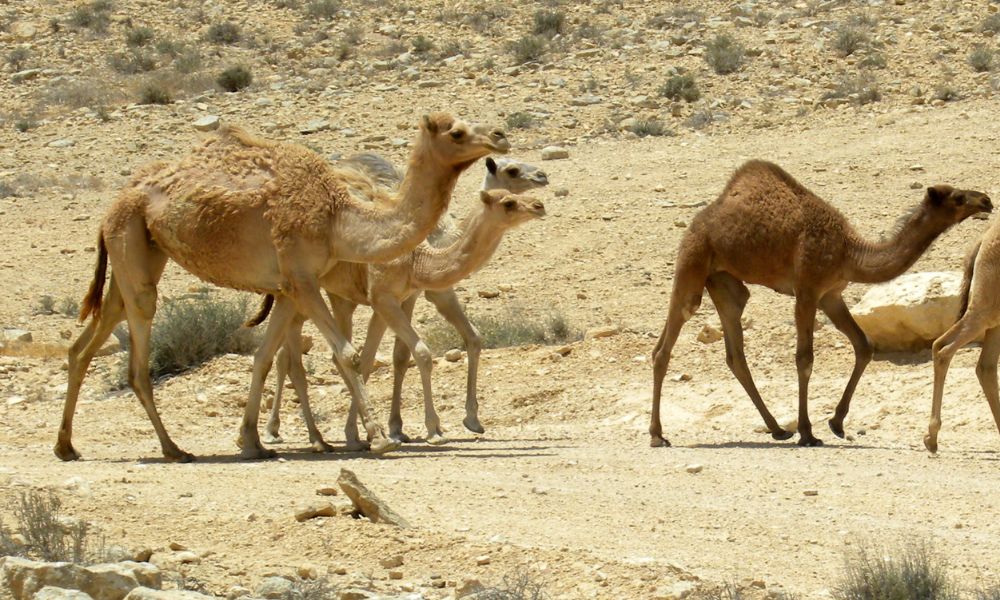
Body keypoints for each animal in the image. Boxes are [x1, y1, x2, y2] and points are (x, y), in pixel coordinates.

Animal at [54, 115, 508, 462]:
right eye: (456, 132)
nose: (500, 135)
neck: (338, 216)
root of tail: (119, 198)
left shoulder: (290, 287)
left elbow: (263, 357)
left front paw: (252, 441)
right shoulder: (302, 277)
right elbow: (345, 354)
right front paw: (379, 437)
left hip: (137, 251)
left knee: (85, 342)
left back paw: (66, 446)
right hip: (131, 242)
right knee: (137, 351)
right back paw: (173, 449)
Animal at [258, 156, 552, 450]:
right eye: (508, 200)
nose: (539, 202)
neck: (419, 256)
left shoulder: (398, 297)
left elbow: (384, 357)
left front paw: (375, 432)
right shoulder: (388, 296)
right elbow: (419, 352)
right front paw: (429, 430)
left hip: (327, 292)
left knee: (305, 353)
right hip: (304, 286)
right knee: (289, 358)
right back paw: (292, 435)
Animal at [648, 162, 992, 448]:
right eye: (958, 197)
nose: (986, 200)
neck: (849, 252)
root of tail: (701, 219)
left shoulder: (831, 294)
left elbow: (864, 345)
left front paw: (836, 423)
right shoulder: (808, 289)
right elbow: (805, 359)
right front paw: (808, 432)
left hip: (725, 282)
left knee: (735, 351)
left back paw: (777, 429)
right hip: (693, 261)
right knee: (666, 343)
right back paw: (657, 435)